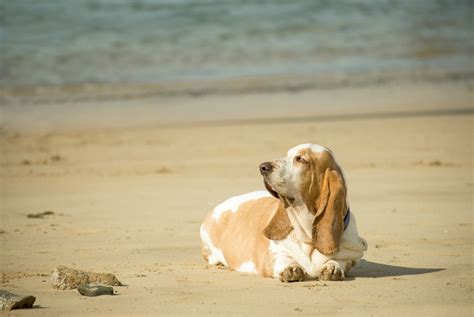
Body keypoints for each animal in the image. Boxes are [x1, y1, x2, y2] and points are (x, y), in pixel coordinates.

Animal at [200, 144, 366, 280]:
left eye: (301, 159)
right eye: (287, 155)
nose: (263, 167)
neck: (307, 237)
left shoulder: (350, 257)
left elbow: (339, 260)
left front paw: (332, 267)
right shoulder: (272, 255)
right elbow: (283, 259)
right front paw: (291, 268)